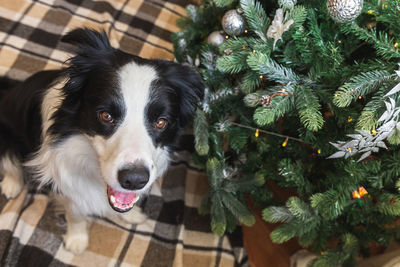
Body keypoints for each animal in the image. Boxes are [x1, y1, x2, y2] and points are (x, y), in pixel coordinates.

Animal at [0, 28, 205, 254]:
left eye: (161, 122)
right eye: (106, 116)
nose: (134, 180)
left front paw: (132, 215)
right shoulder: (66, 182)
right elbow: (76, 213)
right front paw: (77, 240)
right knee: (9, 161)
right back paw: (11, 185)